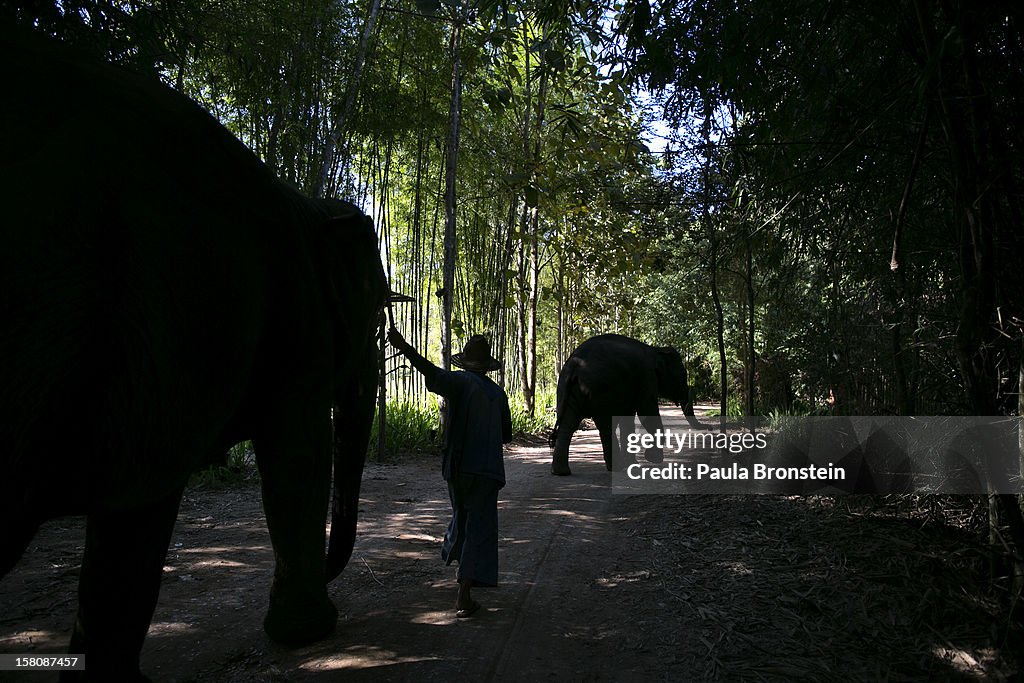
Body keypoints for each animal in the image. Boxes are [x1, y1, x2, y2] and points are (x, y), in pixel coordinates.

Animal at [0, 29, 387, 679]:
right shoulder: (291, 322)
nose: (338, 577)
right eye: (377, 315)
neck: (306, 203)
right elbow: (298, 456)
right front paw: (309, 631)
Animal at [552, 331, 704, 473]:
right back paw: (616, 467)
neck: (655, 349)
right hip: (602, 390)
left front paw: (633, 464)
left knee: (568, 424)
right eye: (683, 375)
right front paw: (652, 459)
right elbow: (647, 412)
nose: (707, 428)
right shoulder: (647, 378)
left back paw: (561, 472)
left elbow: (628, 419)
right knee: (606, 426)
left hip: (567, 390)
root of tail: (574, 366)